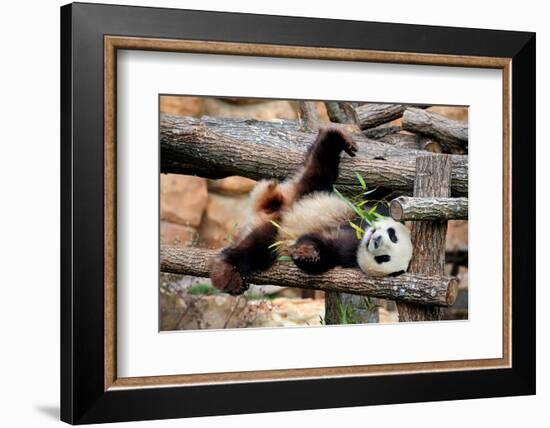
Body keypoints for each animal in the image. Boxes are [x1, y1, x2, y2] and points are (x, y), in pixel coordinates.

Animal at [211, 125, 414, 296]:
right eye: (393, 235)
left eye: (384, 258)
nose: (376, 239)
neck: (360, 236)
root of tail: (273, 208)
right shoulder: (368, 213)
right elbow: (376, 199)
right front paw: (306, 252)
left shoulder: (347, 255)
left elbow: (321, 253)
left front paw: (307, 257)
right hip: (308, 192)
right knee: (320, 166)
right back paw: (338, 136)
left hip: (276, 230)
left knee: (257, 249)